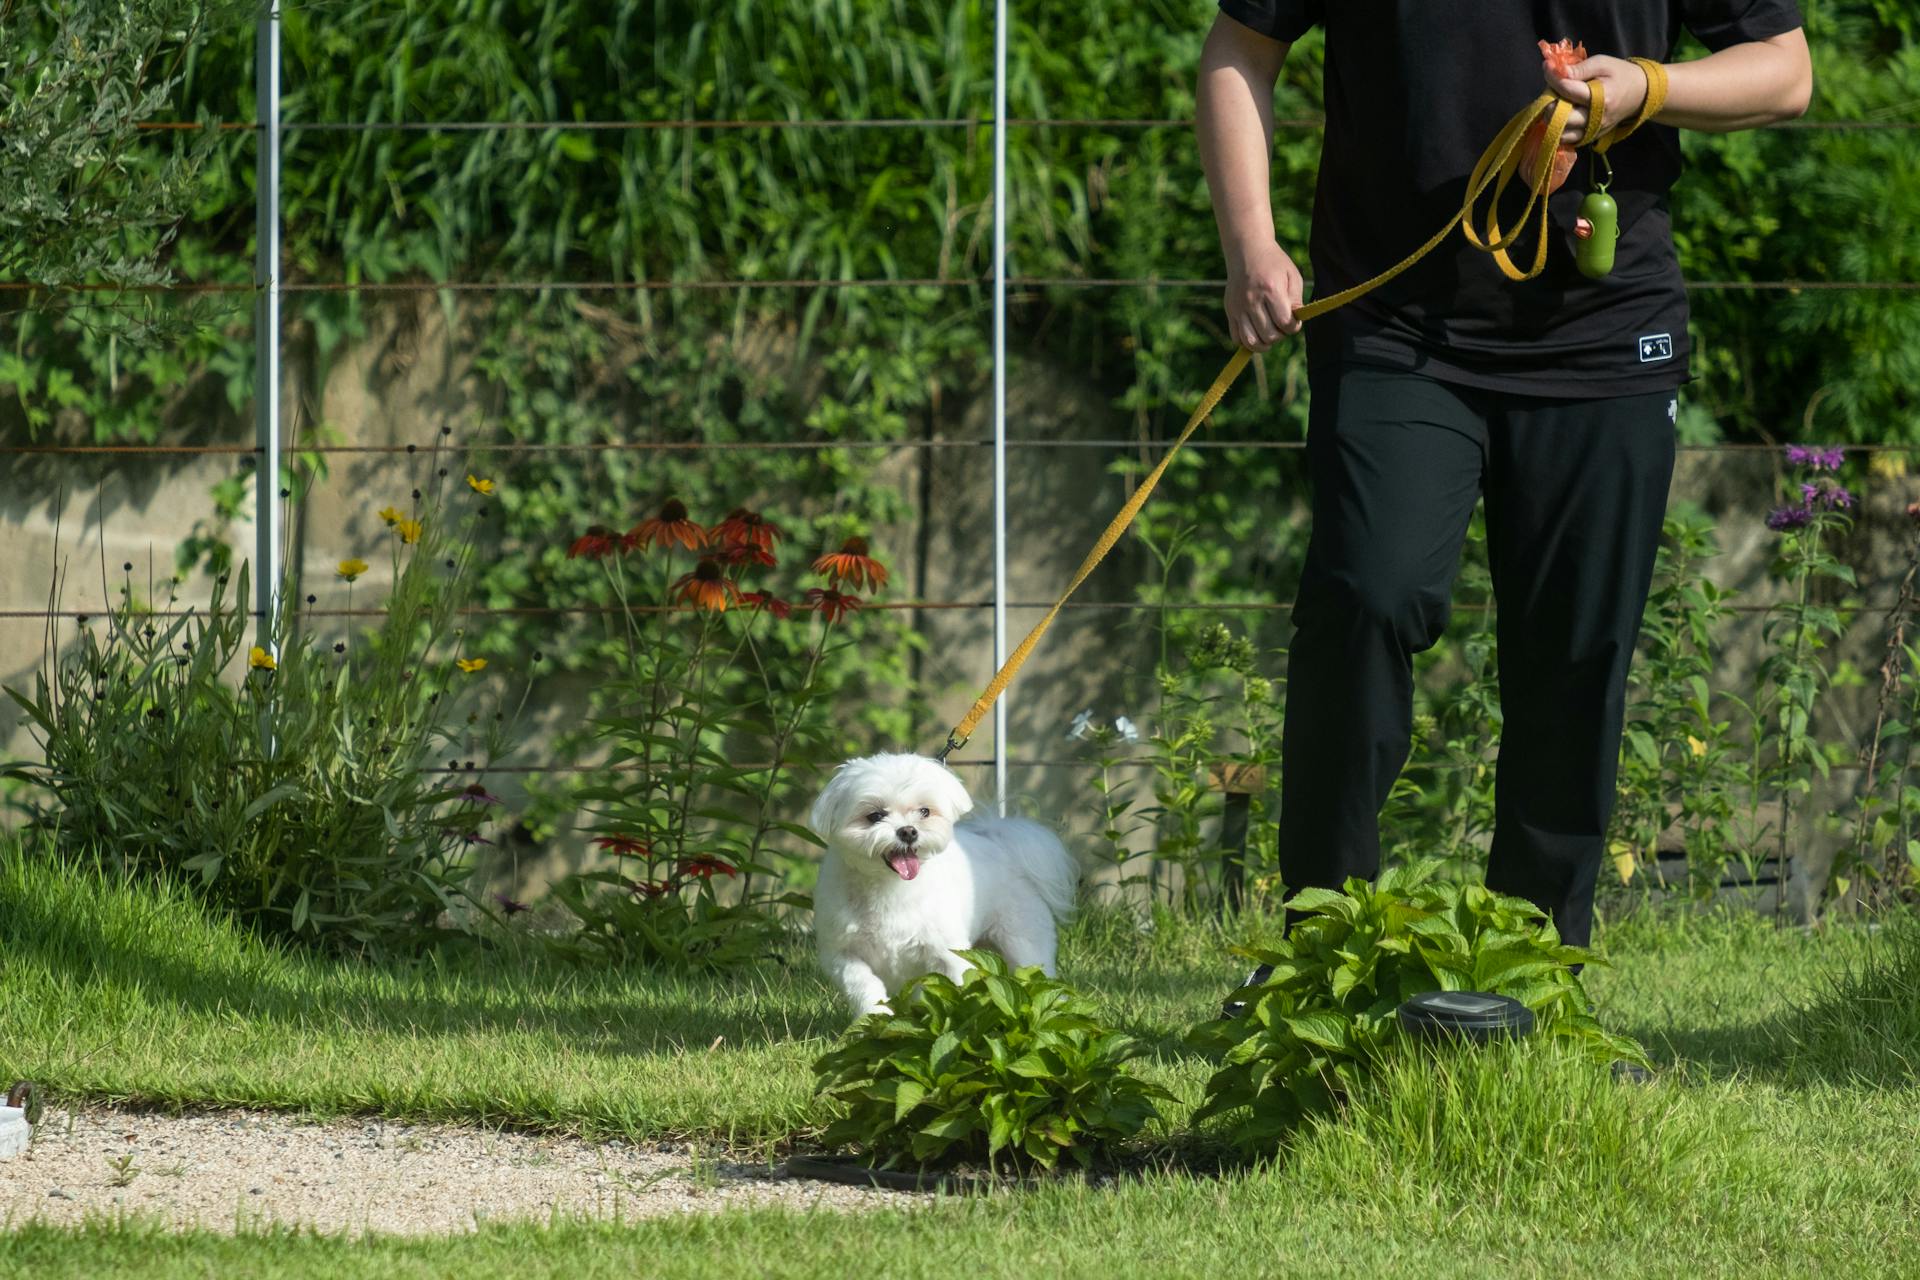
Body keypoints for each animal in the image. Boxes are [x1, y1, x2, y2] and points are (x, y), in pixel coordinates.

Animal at [810, 752, 1082, 1020]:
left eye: (924, 811)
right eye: (875, 816)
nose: (908, 831)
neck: (890, 887)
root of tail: (999, 841)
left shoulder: (947, 953)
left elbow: (954, 987)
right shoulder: (842, 954)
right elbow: (863, 986)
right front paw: (874, 1017)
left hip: (1024, 942)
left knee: (1038, 976)